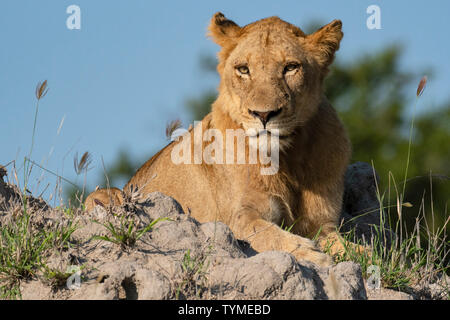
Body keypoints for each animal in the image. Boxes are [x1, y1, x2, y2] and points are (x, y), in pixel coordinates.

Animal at [86, 12, 356, 266]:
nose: (263, 114)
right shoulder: (236, 219)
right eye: (243, 69)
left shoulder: (324, 224)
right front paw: (313, 256)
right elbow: (267, 234)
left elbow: (357, 249)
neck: (287, 159)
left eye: (290, 67)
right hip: (106, 196)